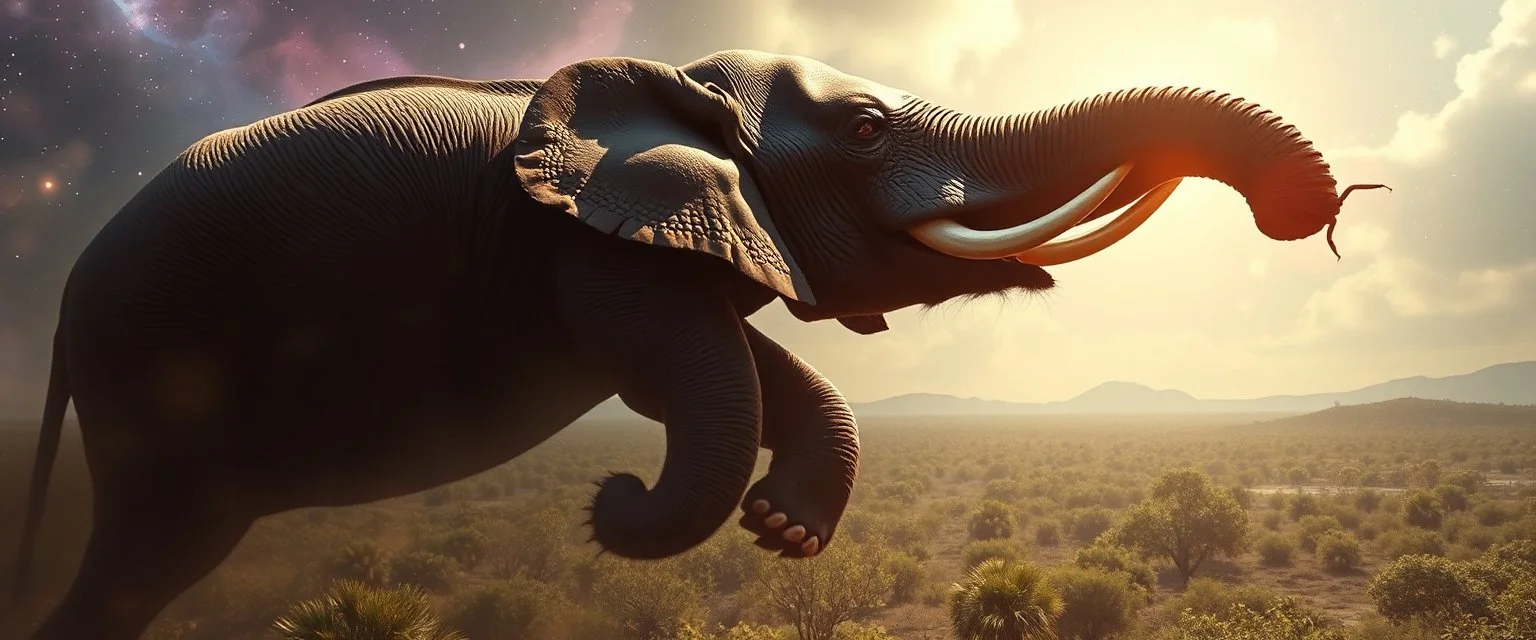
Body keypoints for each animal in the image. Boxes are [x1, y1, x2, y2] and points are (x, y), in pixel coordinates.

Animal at [9, 49, 1385, 639]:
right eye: (870, 127)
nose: (1306, 213)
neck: (675, 79)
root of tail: (66, 291)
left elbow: (753, 372)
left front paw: (781, 530)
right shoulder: (586, 248)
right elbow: (695, 377)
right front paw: (639, 508)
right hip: (157, 360)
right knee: (151, 552)